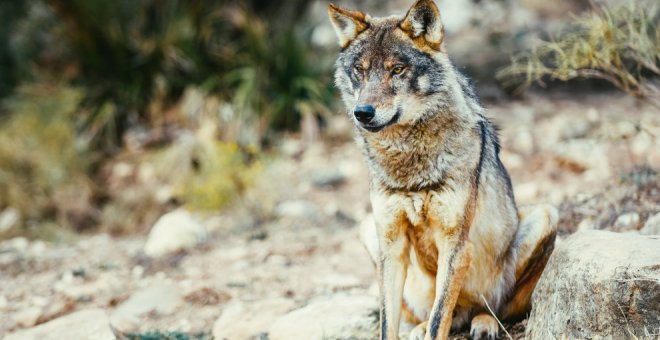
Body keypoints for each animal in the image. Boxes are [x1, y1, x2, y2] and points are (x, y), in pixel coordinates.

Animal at [328, 1, 560, 338]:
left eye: (397, 70)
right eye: (360, 70)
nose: (363, 113)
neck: (409, 164)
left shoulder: (455, 245)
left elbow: (441, 320)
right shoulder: (391, 245)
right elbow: (389, 324)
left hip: (545, 216)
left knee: (498, 308)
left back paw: (484, 322)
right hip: (369, 232)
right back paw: (423, 326)